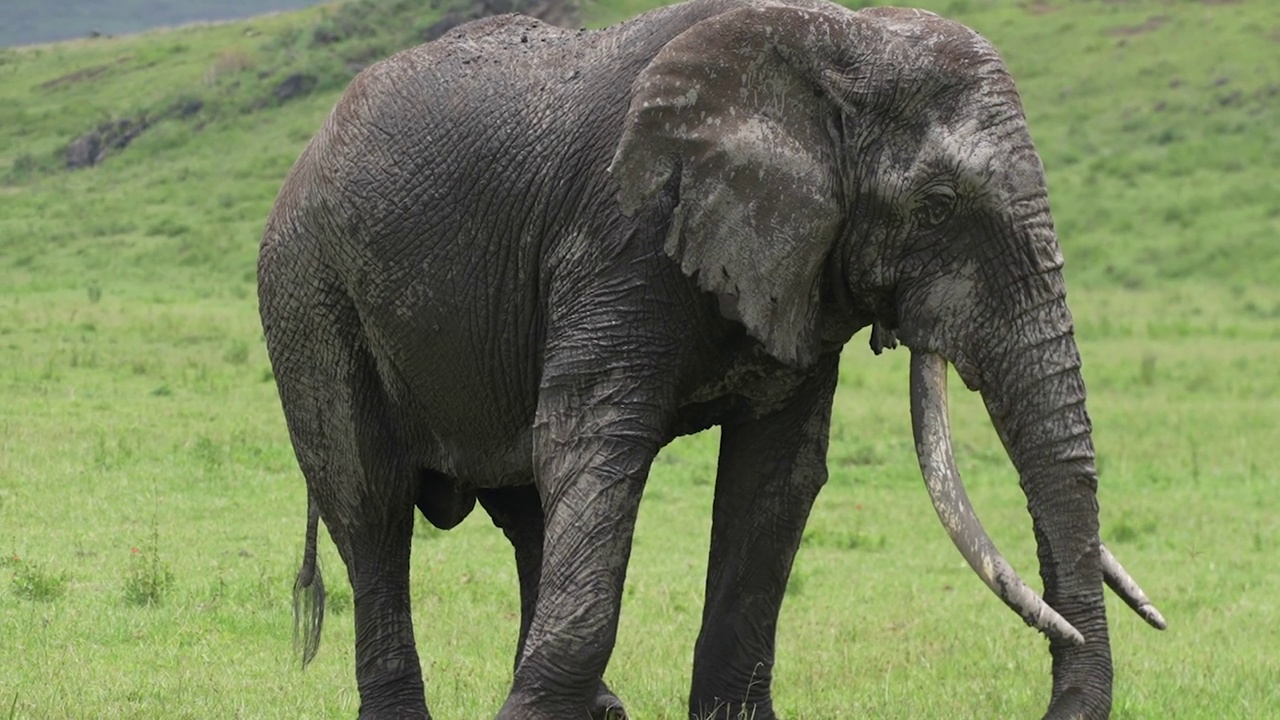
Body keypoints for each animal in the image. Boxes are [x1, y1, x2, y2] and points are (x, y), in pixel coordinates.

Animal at [254, 0, 1167, 712]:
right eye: (938, 207)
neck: (832, 45)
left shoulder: (795, 277)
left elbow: (776, 479)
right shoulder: (620, 234)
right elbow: (590, 445)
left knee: (526, 509)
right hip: (308, 293)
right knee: (371, 509)